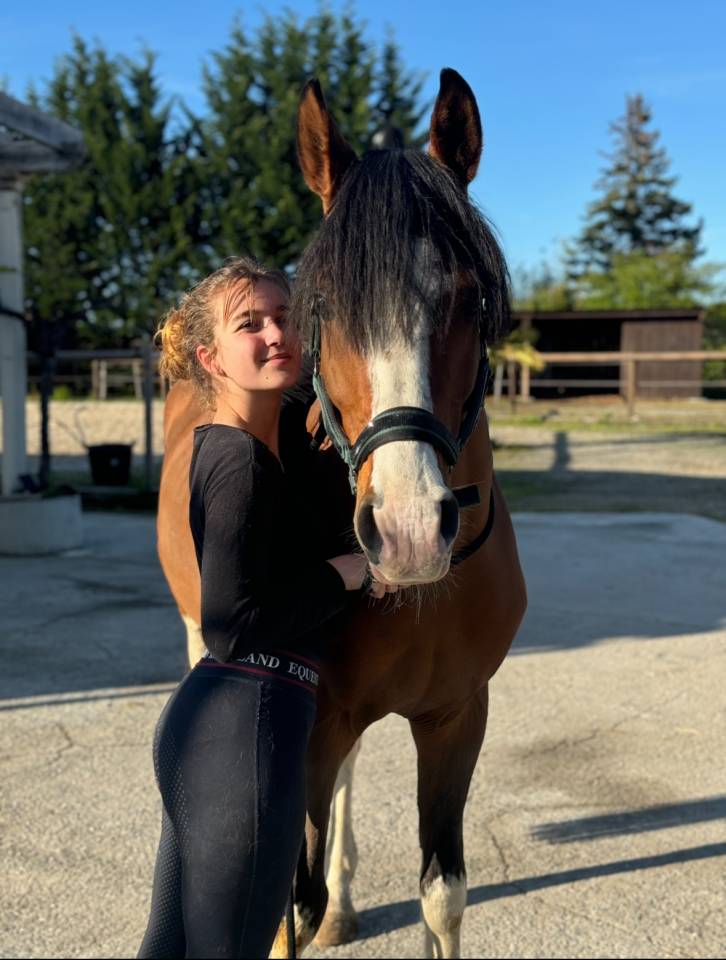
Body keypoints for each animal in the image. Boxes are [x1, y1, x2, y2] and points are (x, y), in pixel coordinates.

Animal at [156, 68, 526, 960]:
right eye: (322, 306)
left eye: (467, 298)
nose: (407, 533)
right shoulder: (313, 727)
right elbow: (281, 906)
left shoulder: (456, 717)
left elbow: (443, 896)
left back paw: (345, 903)